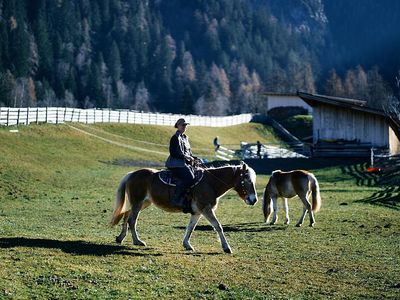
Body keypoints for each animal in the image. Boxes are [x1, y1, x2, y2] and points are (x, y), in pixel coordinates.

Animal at [111, 162, 258, 253]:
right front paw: (226, 248)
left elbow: (190, 228)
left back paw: (121, 237)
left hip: (143, 203)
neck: (210, 183)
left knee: (126, 215)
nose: (254, 200)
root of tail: (132, 174)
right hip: (138, 203)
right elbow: (218, 226)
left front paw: (187, 245)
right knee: (132, 220)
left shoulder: (198, 212)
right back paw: (137, 241)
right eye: (247, 180)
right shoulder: (206, 209)